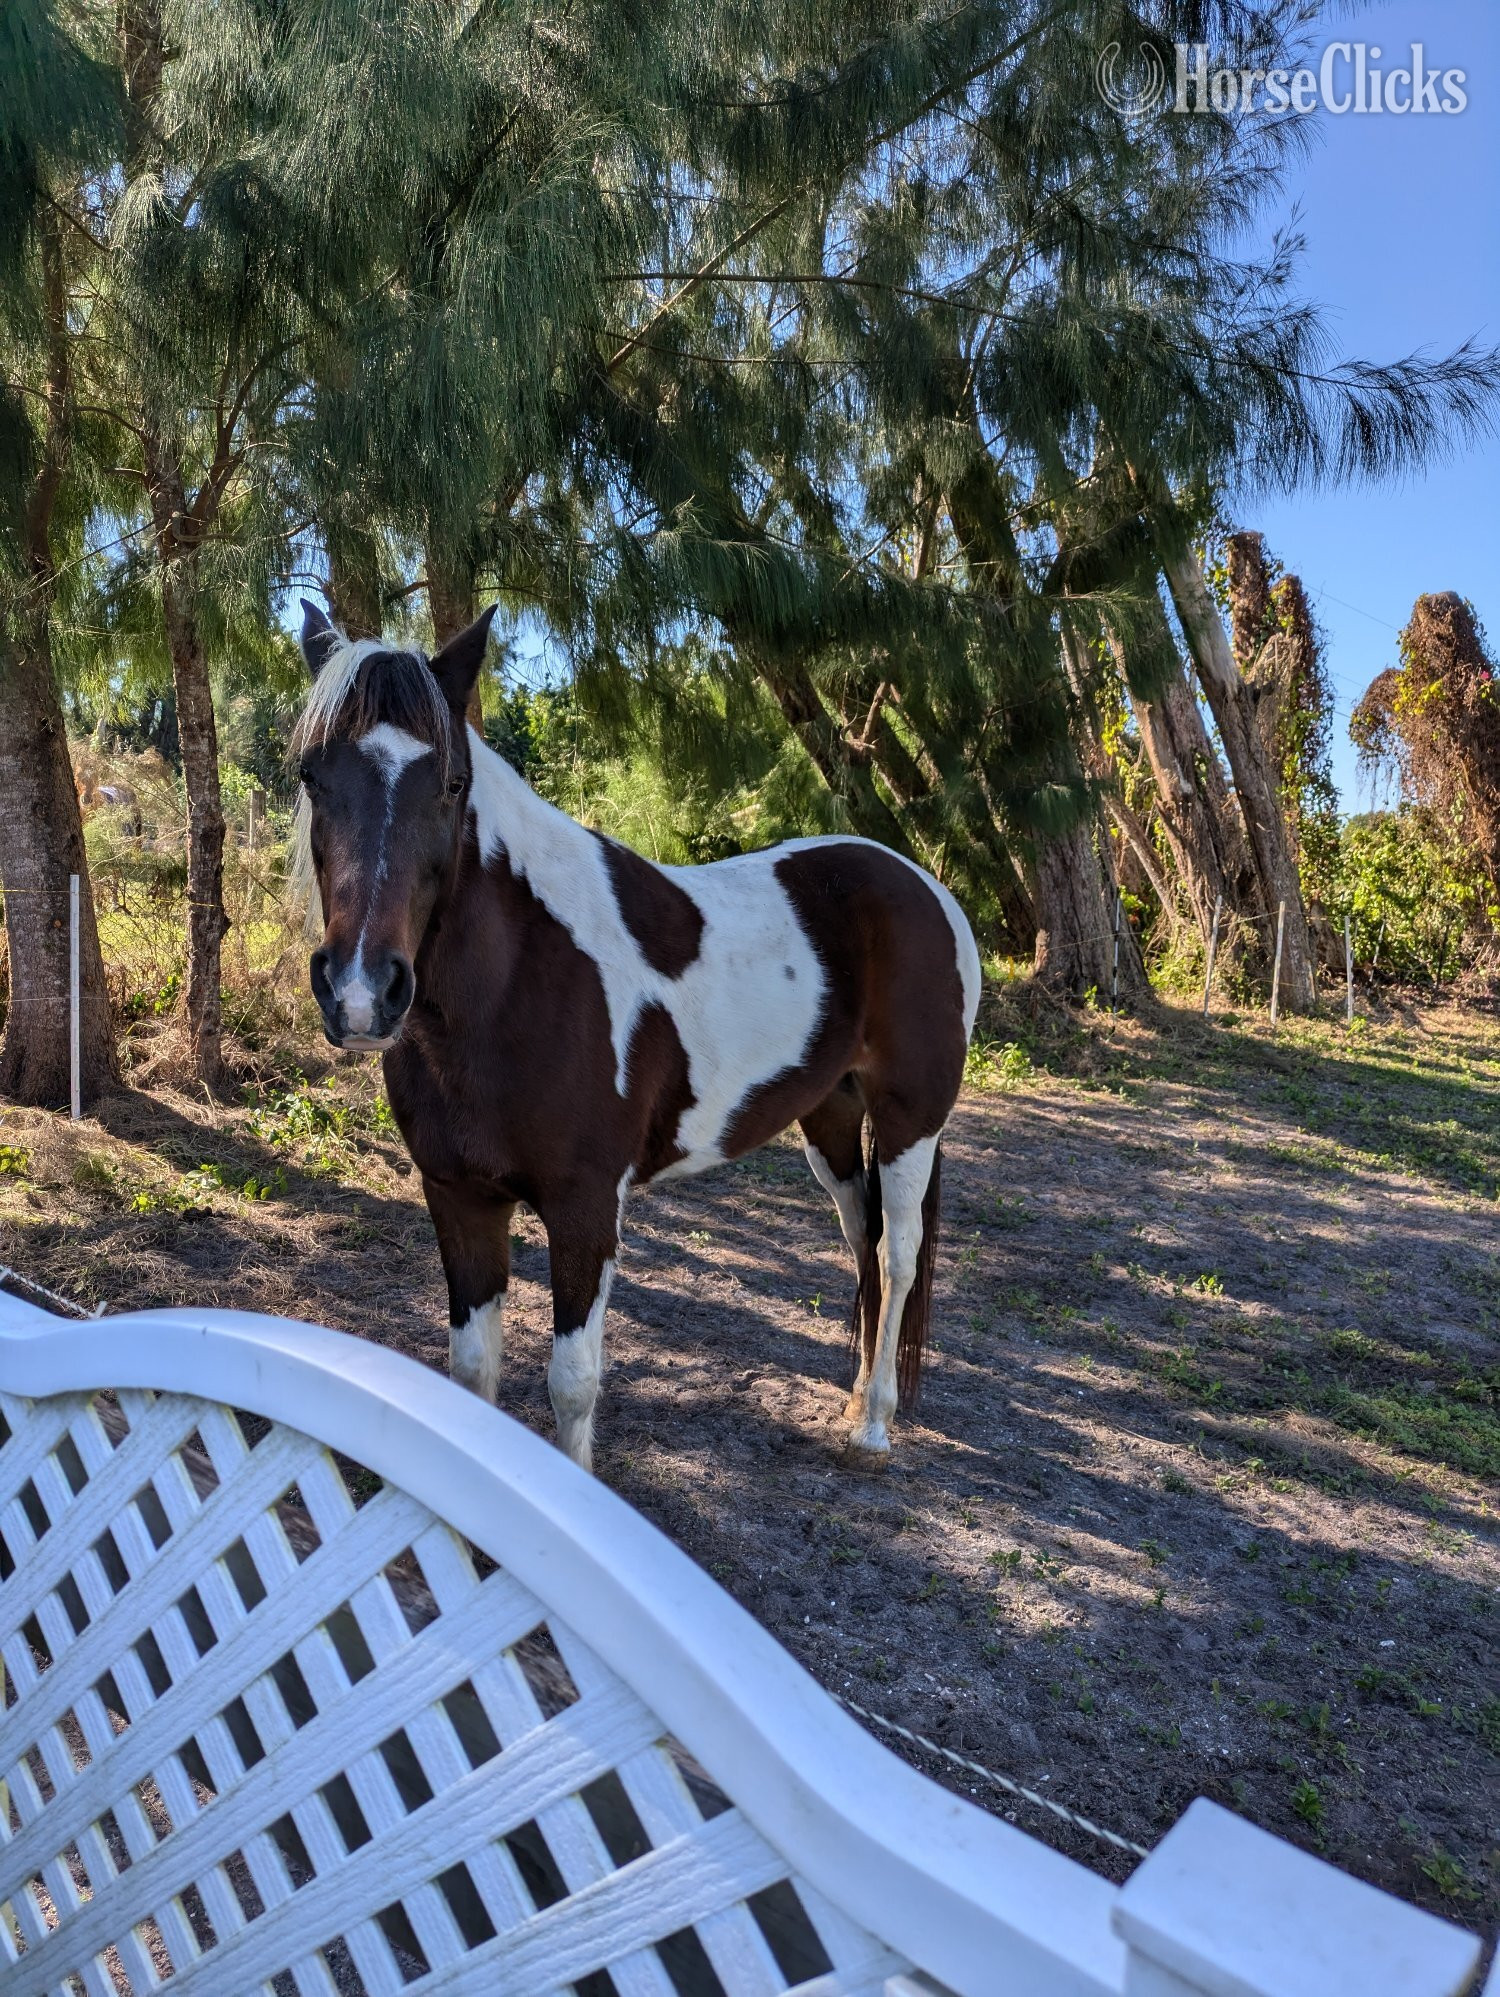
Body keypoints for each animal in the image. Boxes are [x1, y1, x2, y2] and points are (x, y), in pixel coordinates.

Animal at [292, 602, 981, 1471]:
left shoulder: (586, 1208)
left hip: (908, 1123)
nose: (360, 991)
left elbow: (572, 1383)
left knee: (898, 1255)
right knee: (863, 1238)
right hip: (829, 1119)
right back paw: (855, 1398)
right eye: (312, 776)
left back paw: (874, 1425)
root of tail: (926, 889)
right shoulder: (460, 1198)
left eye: (450, 784)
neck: (523, 982)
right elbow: (473, 1369)